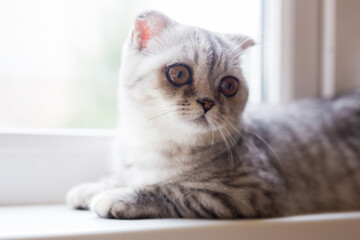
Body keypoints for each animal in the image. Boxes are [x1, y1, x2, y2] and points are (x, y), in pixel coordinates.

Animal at [67, 10, 360, 218]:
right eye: (179, 73)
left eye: (229, 86)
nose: (207, 102)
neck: (154, 144)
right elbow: (123, 176)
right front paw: (93, 187)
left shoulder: (247, 192)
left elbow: (170, 189)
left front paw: (119, 196)